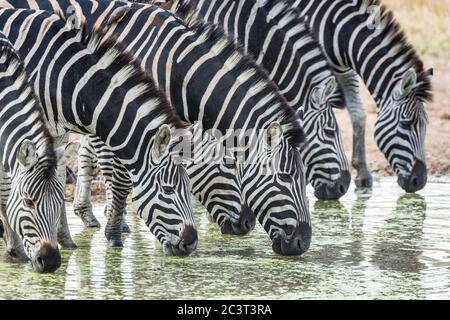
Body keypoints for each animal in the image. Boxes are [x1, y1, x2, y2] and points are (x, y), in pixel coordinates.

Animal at [292, 0, 432, 191]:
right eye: (406, 124)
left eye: (426, 125)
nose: (419, 182)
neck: (337, 31)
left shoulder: (345, 71)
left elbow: (358, 114)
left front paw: (362, 173)